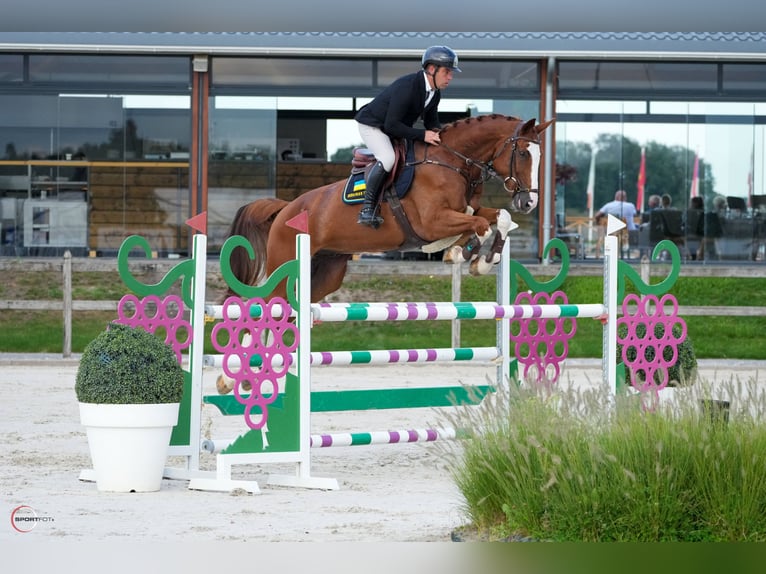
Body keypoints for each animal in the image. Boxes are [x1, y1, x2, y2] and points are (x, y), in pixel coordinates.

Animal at [225, 116, 556, 306]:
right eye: (523, 153)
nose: (529, 203)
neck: (451, 161)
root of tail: (285, 209)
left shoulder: (467, 210)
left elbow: (499, 218)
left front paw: (484, 261)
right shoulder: (433, 223)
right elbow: (478, 226)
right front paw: (463, 253)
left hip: (325, 271)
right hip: (284, 263)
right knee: (266, 305)